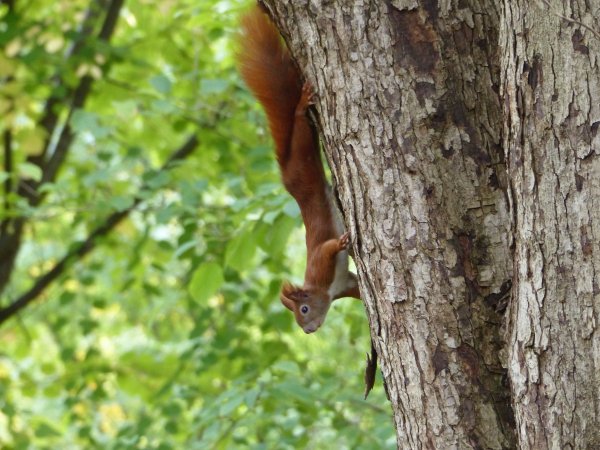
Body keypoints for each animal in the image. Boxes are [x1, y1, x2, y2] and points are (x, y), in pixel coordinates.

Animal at [239, 5, 360, 332]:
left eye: (303, 309)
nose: (308, 330)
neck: (325, 291)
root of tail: (288, 176)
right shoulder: (343, 283)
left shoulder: (320, 263)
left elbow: (328, 247)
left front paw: (342, 241)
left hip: (303, 149)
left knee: (299, 126)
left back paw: (300, 106)